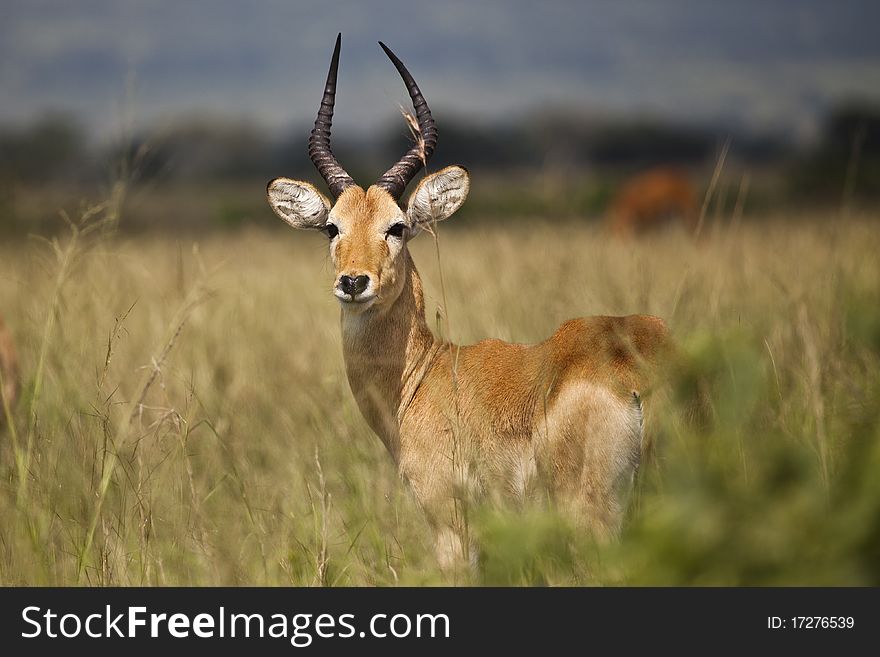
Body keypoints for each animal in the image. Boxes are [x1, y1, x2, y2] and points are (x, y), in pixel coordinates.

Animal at [264, 36, 672, 568]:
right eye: (333, 227)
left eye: (397, 226)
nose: (354, 282)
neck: (424, 378)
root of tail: (637, 376)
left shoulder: (451, 529)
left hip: (594, 521)